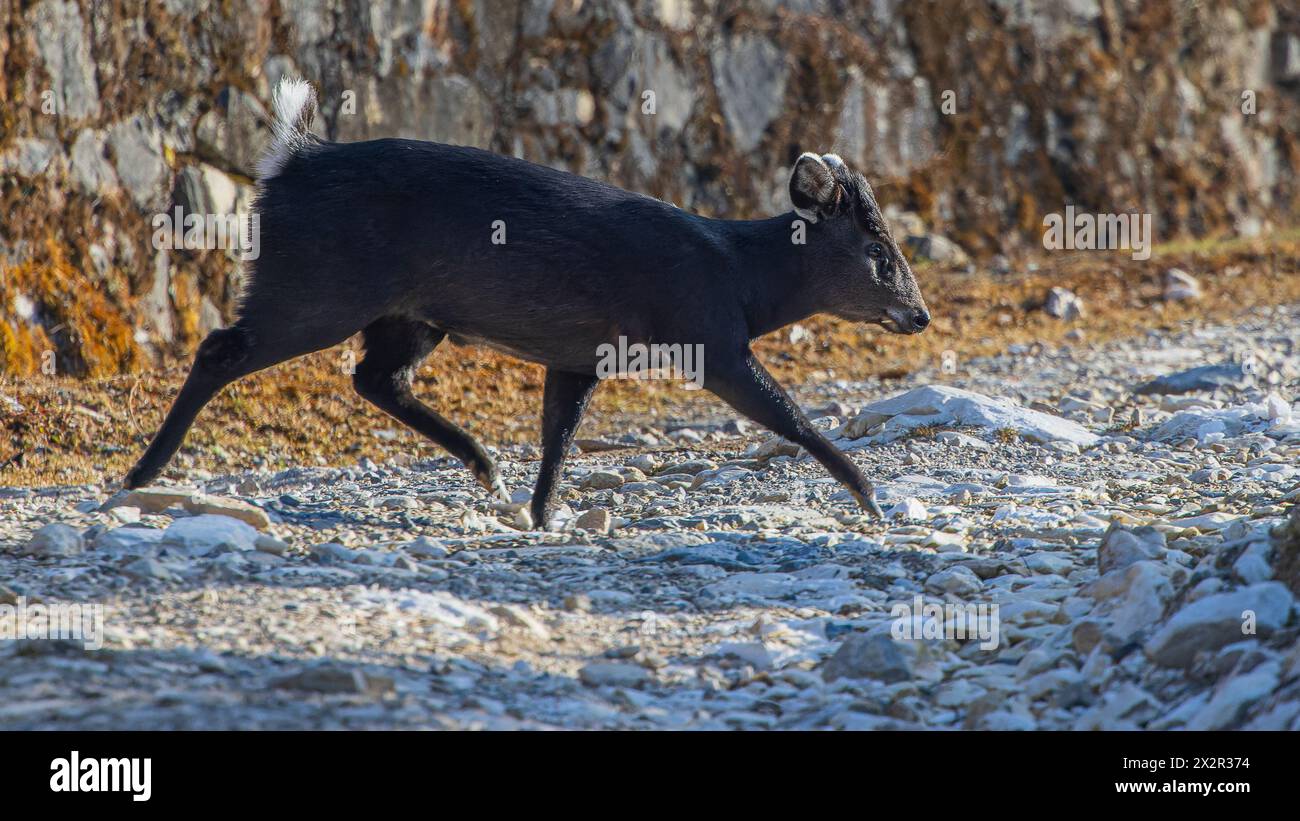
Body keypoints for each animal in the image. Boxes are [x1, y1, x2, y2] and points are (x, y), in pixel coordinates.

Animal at [124, 76, 925, 524]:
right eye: (880, 256)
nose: (918, 315)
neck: (739, 276)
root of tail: (289, 159)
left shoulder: (581, 353)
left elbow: (559, 432)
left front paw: (542, 514)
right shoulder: (707, 335)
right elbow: (788, 414)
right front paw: (869, 496)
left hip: (404, 311)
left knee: (374, 377)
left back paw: (483, 465)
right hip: (315, 283)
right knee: (222, 348)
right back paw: (142, 474)